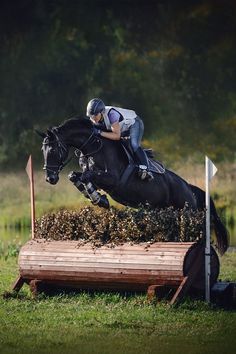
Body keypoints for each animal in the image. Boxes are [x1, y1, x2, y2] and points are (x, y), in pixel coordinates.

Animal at [37, 117, 229, 253]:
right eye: (42, 150)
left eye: (53, 149)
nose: (50, 178)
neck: (94, 146)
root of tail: (190, 188)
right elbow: (75, 176)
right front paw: (96, 197)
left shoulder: (112, 179)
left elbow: (86, 176)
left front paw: (99, 199)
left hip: (186, 212)